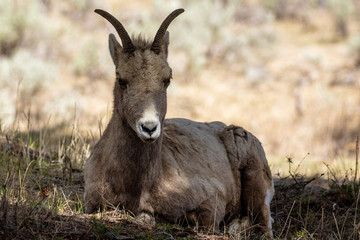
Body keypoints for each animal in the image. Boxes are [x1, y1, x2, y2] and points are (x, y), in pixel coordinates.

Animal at [84, 8, 274, 235]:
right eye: (121, 79)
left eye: (167, 79)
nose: (149, 128)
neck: (136, 187)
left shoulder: (212, 202)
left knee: (262, 224)